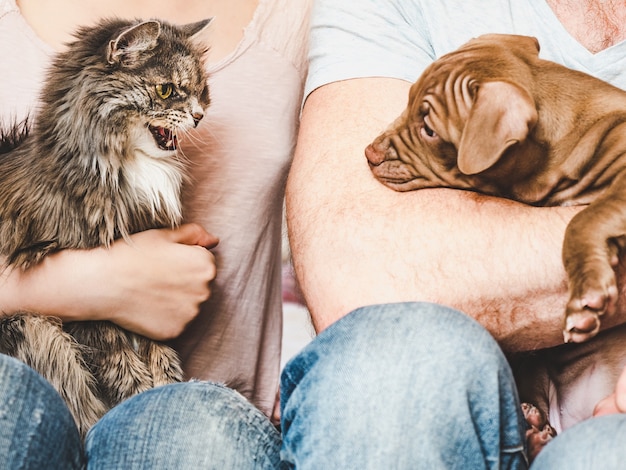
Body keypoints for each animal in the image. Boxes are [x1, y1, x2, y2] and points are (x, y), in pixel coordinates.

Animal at [0, 17, 211, 436]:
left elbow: (159, 353)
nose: (198, 115)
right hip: (33, 325)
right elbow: (121, 362)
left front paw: (166, 387)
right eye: (166, 90)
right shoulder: (94, 305)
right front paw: (140, 396)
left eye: (202, 92)